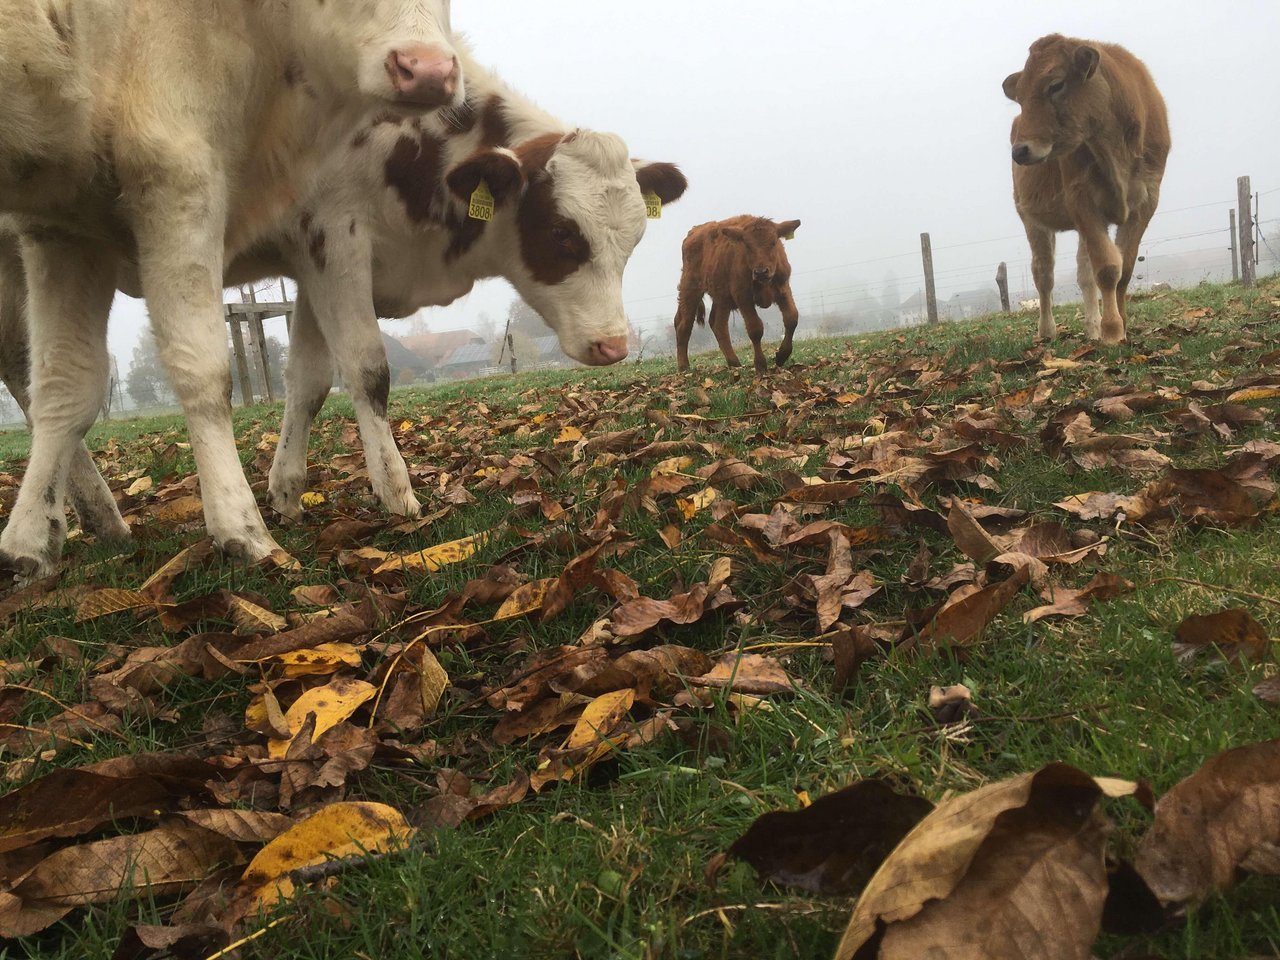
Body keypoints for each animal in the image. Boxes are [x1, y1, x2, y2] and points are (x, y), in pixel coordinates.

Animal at [0, 0, 460, 583]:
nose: (430, 71)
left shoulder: (62, 229)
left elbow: (67, 383)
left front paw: (28, 539)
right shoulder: (179, 178)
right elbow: (206, 371)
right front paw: (242, 527)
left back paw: (98, 519)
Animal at [675, 216, 793, 373]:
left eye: (774, 242)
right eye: (747, 245)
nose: (761, 272)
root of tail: (694, 231)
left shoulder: (783, 289)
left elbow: (792, 318)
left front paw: (782, 355)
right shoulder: (743, 297)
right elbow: (755, 328)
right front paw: (760, 365)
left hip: (722, 297)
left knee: (717, 324)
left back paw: (734, 363)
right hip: (690, 289)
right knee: (684, 325)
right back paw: (683, 367)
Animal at [1003, 35, 1172, 348]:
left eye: (1056, 85)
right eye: (1019, 98)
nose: (1020, 151)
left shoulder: (1146, 201)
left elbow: (1123, 269)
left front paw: (1120, 325)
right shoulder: (1080, 198)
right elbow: (1107, 267)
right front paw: (1112, 330)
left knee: (1084, 275)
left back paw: (1092, 327)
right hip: (1031, 218)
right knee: (1043, 273)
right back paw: (1048, 330)